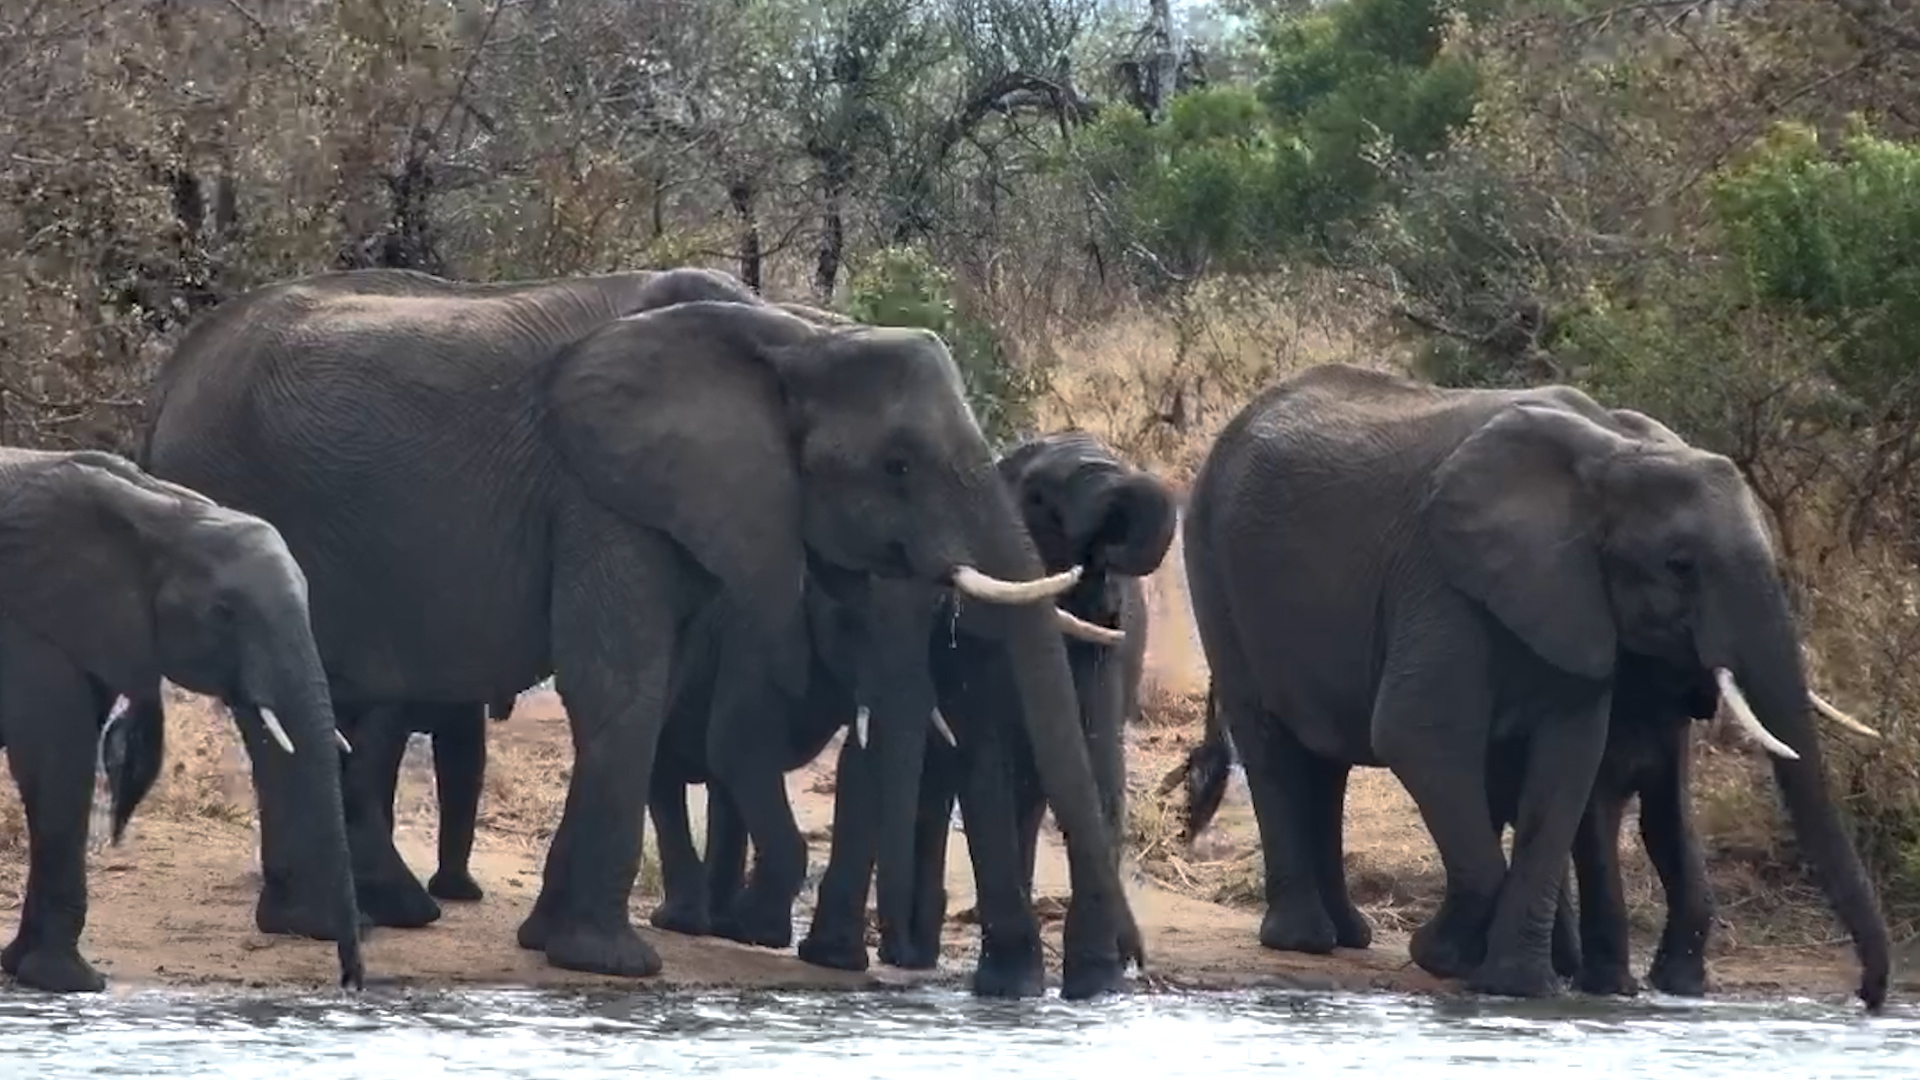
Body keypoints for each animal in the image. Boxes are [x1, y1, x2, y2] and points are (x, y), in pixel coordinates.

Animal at [0, 448, 360, 993]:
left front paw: (20, 966)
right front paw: (67, 981)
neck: (166, 513)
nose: (351, 982)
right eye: (223, 612)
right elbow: (56, 756)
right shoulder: (28, 624)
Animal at [138, 266, 1142, 992]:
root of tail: (170, 382)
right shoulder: (600, 491)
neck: (793, 331)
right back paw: (330, 922)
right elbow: (619, 683)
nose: (1119, 973)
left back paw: (338, 918)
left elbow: (648, 697)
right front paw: (612, 964)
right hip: (241, 490)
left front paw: (549, 940)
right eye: (897, 465)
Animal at [1181, 362, 1890, 1010]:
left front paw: (1519, 987)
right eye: (1680, 565)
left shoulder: (1576, 604)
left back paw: (1351, 938)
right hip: (1211, 557)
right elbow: (1419, 734)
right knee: (1272, 743)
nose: (1867, 997)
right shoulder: (1441, 576)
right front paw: (1445, 957)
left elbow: (1569, 760)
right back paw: (1304, 941)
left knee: (1324, 760)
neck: (1614, 456)